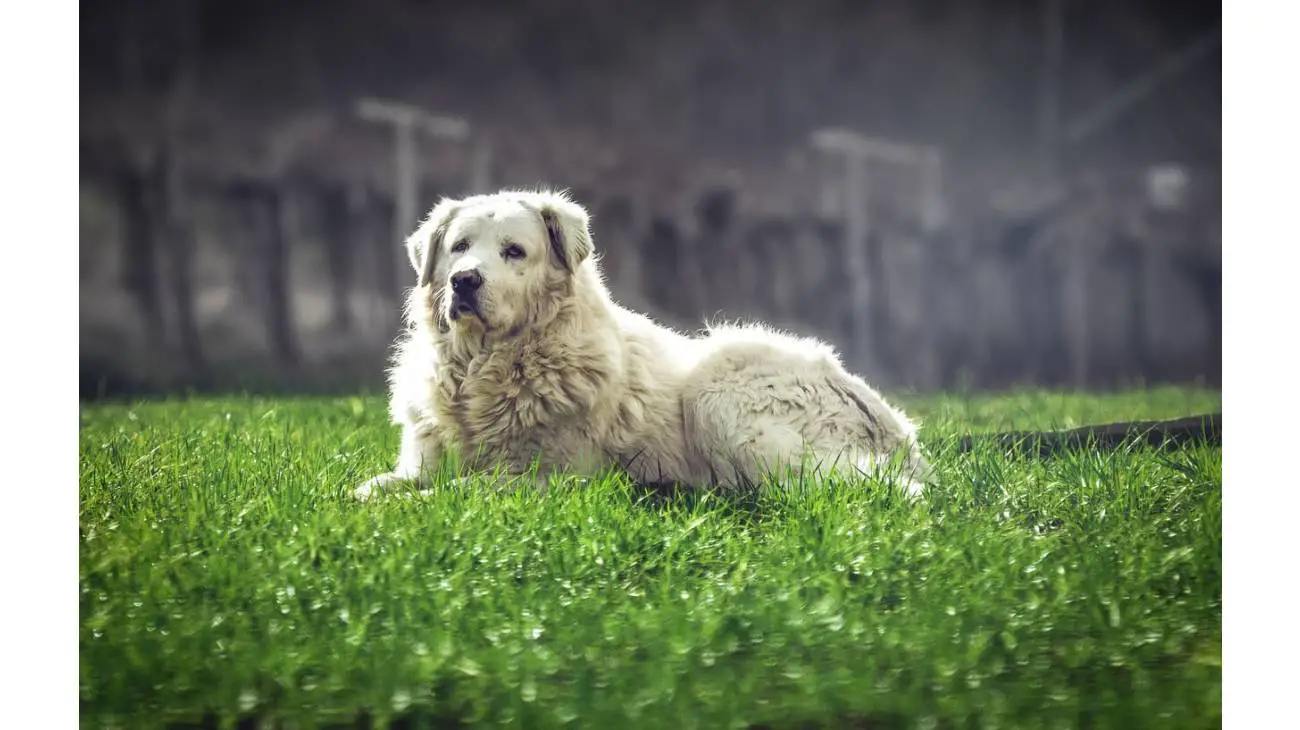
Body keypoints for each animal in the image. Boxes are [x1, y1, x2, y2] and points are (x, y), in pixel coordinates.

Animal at [351, 187, 930, 496]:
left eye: (514, 251)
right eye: (459, 246)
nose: (465, 281)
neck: (487, 367)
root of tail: (898, 429)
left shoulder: (545, 477)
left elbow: (456, 491)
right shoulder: (420, 462)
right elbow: (376, 485)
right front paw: (369, 498)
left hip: (718, 388)